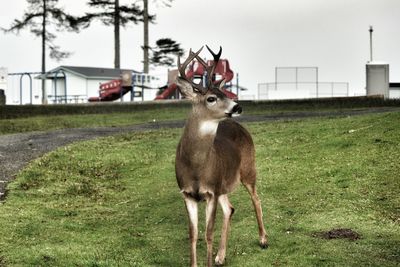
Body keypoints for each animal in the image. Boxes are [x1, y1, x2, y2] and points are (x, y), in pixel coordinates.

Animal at [175, 45, 268, 266]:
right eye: (211, 98)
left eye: (224, 92)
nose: (237, 106)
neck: (196, 167)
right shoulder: (187, 193)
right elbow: (193, 234)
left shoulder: (212, 192)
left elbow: (208, 233)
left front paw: (208, 262)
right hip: (224, 182)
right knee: (230, 208)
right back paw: (221, 255)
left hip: (248, 168)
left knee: (256, 198)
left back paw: (263, 239)